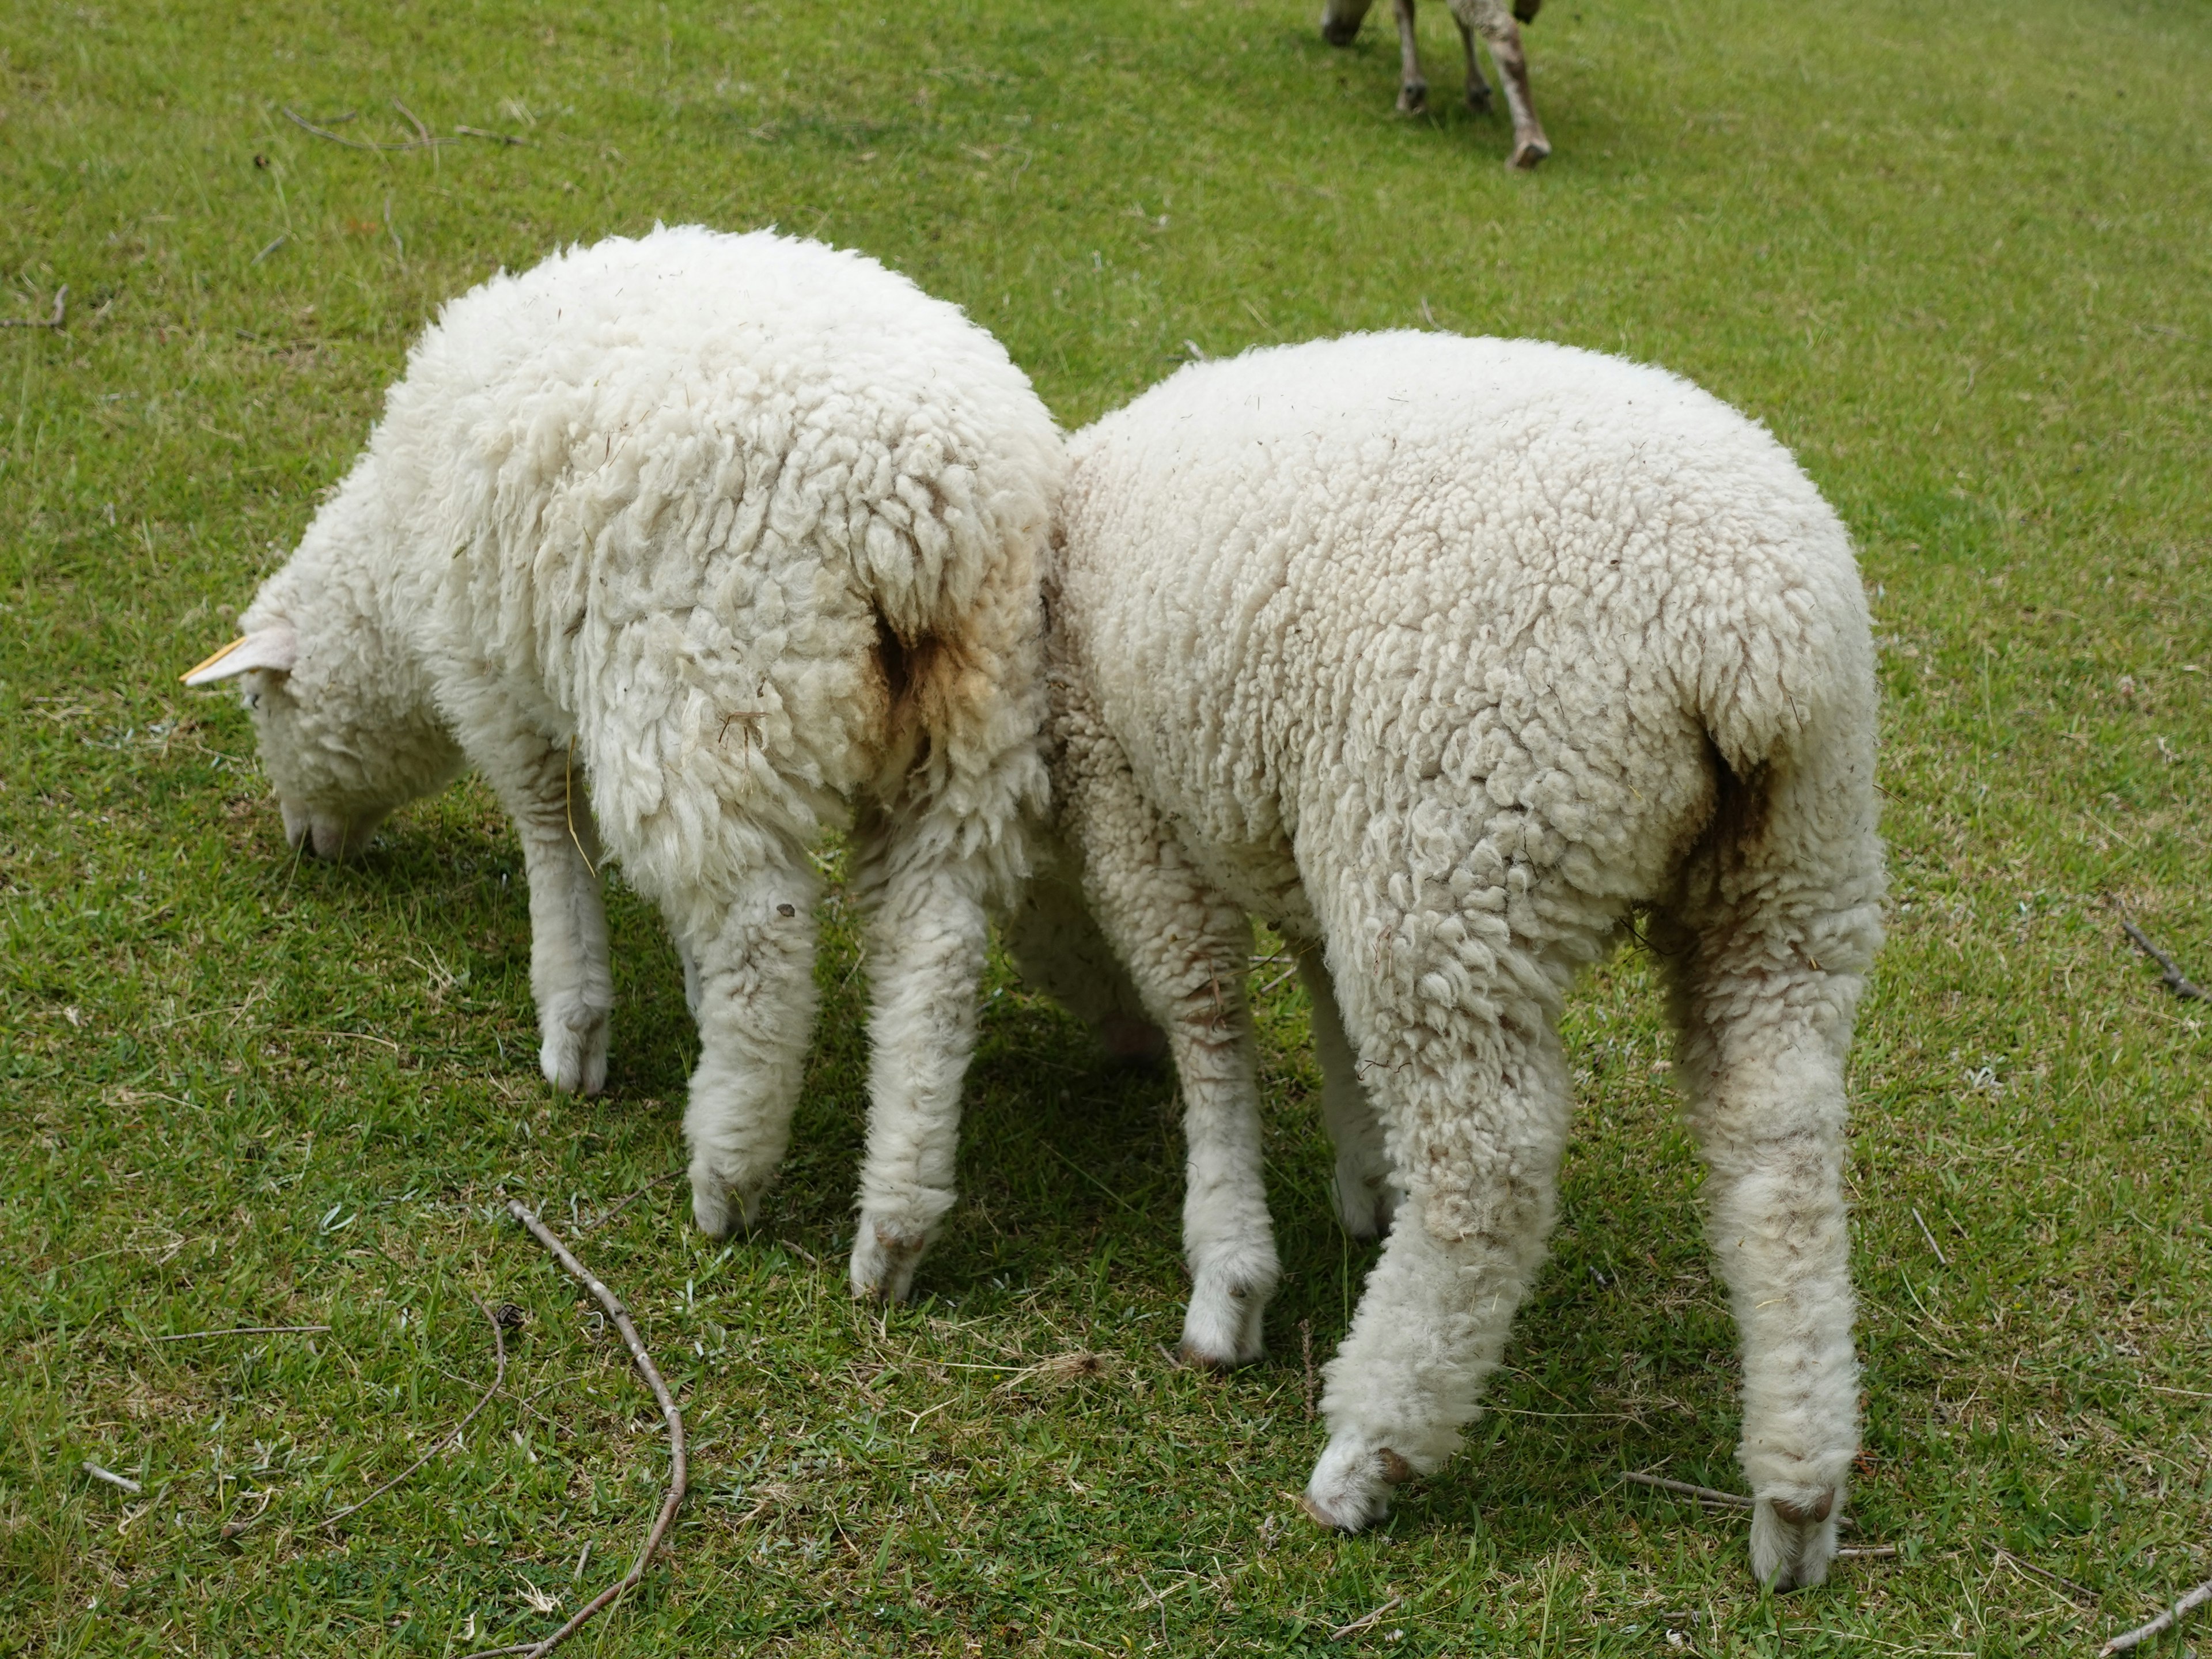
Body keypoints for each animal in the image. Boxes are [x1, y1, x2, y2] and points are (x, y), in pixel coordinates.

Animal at [181, 224, 1062, 1300]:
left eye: (259, 703)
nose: (306, 846)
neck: (392, 565)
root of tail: (921, 507)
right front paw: (675, 991)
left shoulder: (498, 686)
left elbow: (552, 850)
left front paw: (574, 1033)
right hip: (974, 725)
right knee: (932, 960)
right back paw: (892, 1237)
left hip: (715, 695)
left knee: (763, 944)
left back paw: (730, 1176)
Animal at [1004, 332, 1884, 1592]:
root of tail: (1744, 633)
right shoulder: (1307, 833)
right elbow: (1323, 1001)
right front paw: (1364, 1179)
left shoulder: (1131, 795)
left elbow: (1204, 1010)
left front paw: (1228, 1273)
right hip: (1790, 879)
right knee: (1783, 1155)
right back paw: (1799, 1495)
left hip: (1457, 862)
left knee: (1490, 1169)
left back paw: (1371, 1448)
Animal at [1309, 0, 1557, 169]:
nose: (1331, 34)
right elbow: (1460, 21)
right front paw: (1477, 91)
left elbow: (1403, 11)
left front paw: (1412, 92)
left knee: (1502, 32)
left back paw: (1529, 143)